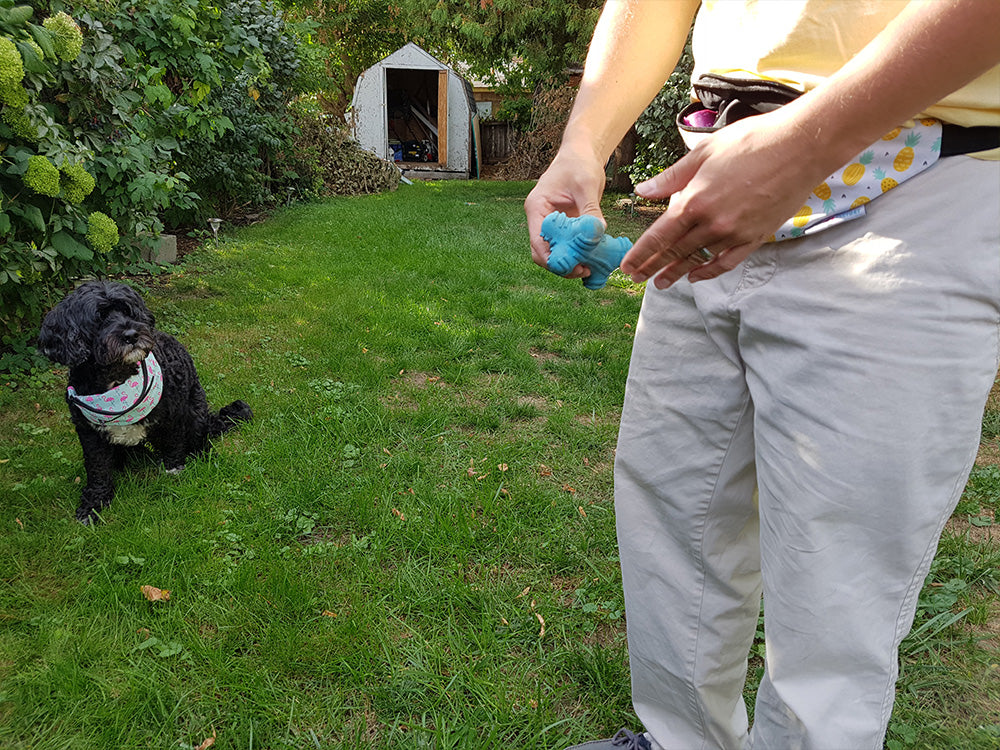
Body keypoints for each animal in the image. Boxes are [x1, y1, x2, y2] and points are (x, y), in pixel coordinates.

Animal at [37, 280, 252, 524]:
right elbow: (98, 469)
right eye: (99, 318)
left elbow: (174, 444)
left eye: (128, 311)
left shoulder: (173, 415)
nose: (131, 334)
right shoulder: (90, 433)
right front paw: (94, 503)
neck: (117, 378)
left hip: (195, 412)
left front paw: (173, 468)